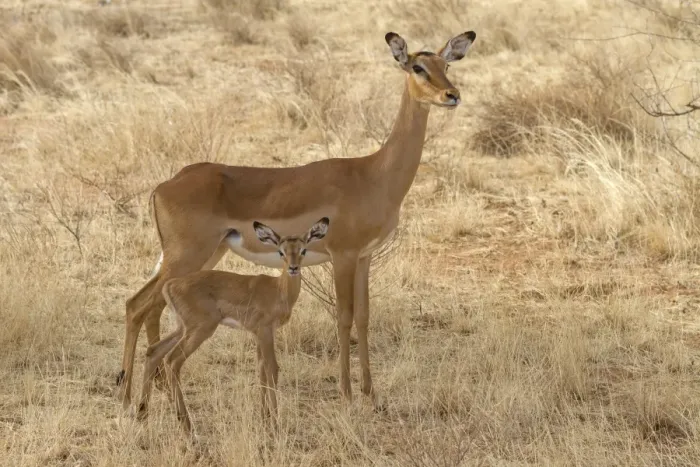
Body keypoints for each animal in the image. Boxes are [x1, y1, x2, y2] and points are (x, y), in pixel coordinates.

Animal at [117, 30, 477, 409]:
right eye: (418, 67)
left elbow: (364, 317)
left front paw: (370, 392)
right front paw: (347, 393)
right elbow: (344, 317)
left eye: (446, 65)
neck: (374, 174)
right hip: (186, 255)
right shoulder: (343, 256)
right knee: (136, 305)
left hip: (204, 256)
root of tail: (164, 186)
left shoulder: (364, 257)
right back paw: (126, 395)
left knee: (149, 306)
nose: (452, 95)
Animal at [137, 218, 329, 433]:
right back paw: (186, 425)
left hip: (182, 328)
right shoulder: (265, 331)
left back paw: (142, 414)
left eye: (303, 250)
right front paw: (275, 424)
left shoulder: (258, 334)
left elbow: (262, 369)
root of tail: (169, 285)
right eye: (281, 252)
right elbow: (272, 368)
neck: (279, 290)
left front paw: (264, 419)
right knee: (172, 360)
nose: (293, 268)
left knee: (154, 351)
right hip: (200, 330)